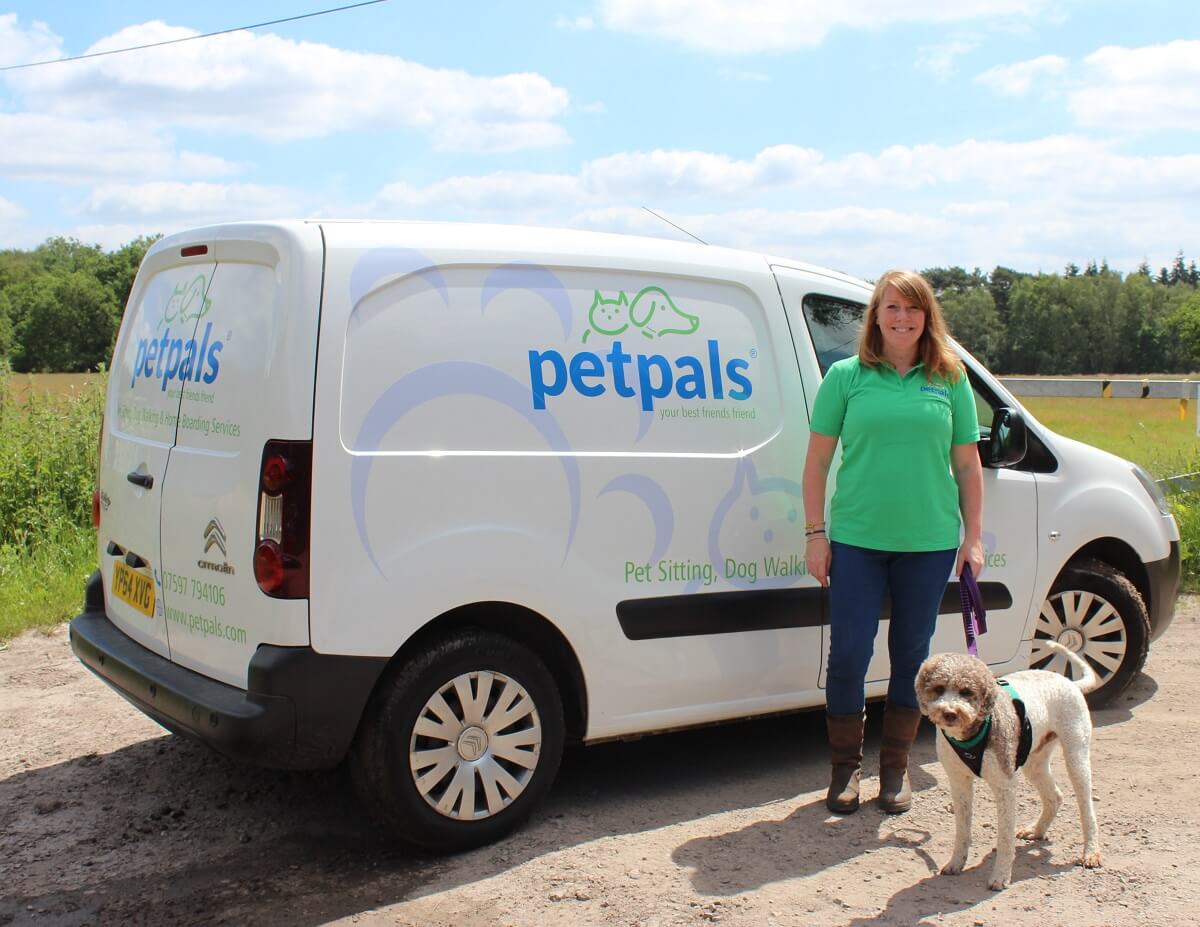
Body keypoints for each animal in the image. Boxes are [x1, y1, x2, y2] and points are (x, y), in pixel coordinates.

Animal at [916, 643, 1104, 888]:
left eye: (966, 691)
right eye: (938, 689)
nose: (949, 713)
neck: (972, 732)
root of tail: (1070, 682)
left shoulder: (1004, 786)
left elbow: (1004, 837)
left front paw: (1001, 876)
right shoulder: (958, 782)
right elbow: (962, 830)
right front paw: (956, 862)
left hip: (1076, 754)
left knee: (1086, 808)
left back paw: (1091, 852)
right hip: (1035, 761)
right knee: (1055, 796)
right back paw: (1036, 830)